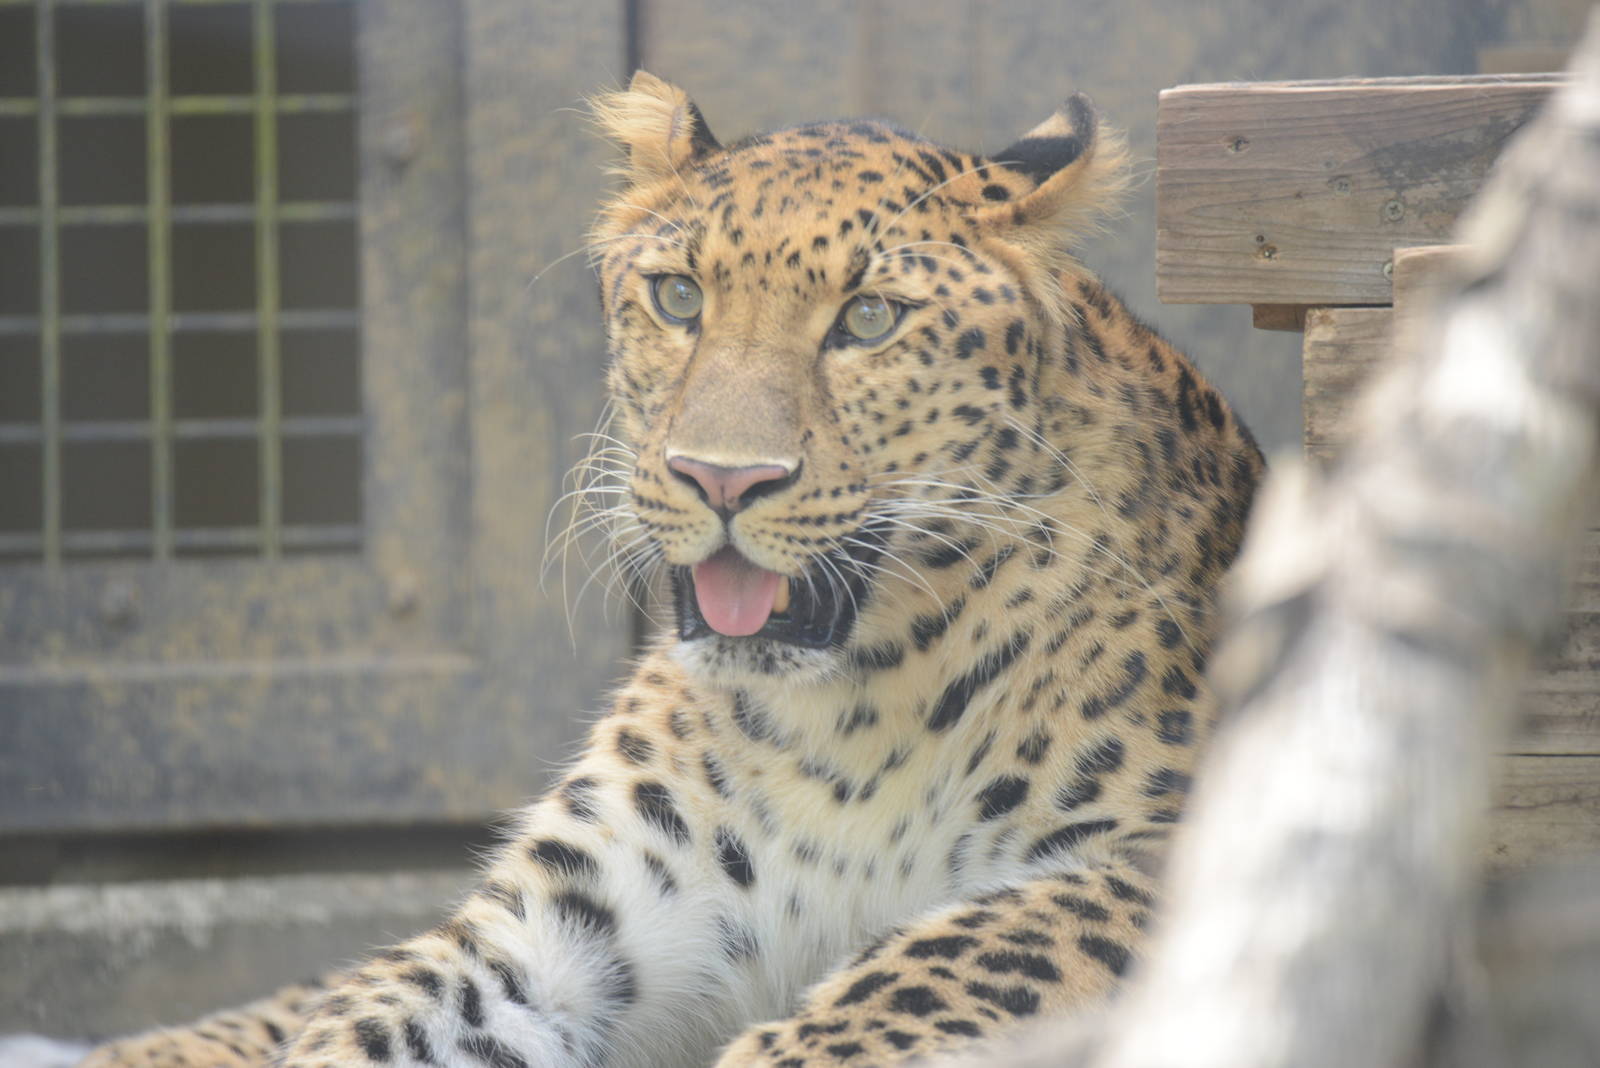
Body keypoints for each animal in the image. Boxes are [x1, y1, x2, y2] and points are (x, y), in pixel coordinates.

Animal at [79, 71, 1262, 1068]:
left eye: (867, 318)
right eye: (680, 297)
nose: (720, 479)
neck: (851, 724)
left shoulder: (1162, 851)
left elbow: (921, 977)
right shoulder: (572, 914)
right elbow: (380, 1010)